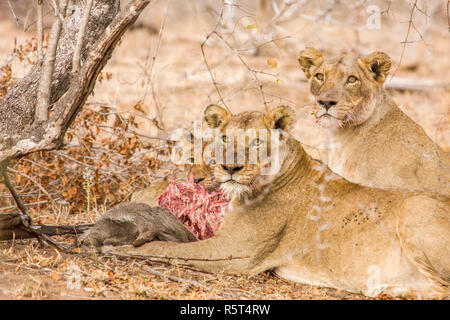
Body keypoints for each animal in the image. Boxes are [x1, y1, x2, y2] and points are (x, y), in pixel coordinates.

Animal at [103, 104, 450, 298]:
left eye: (257, 142)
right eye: (225, 138)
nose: (230, 168)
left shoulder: (233, 254)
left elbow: (165, 249)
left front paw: (115, 247)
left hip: (416, 207)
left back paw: (391, 288)